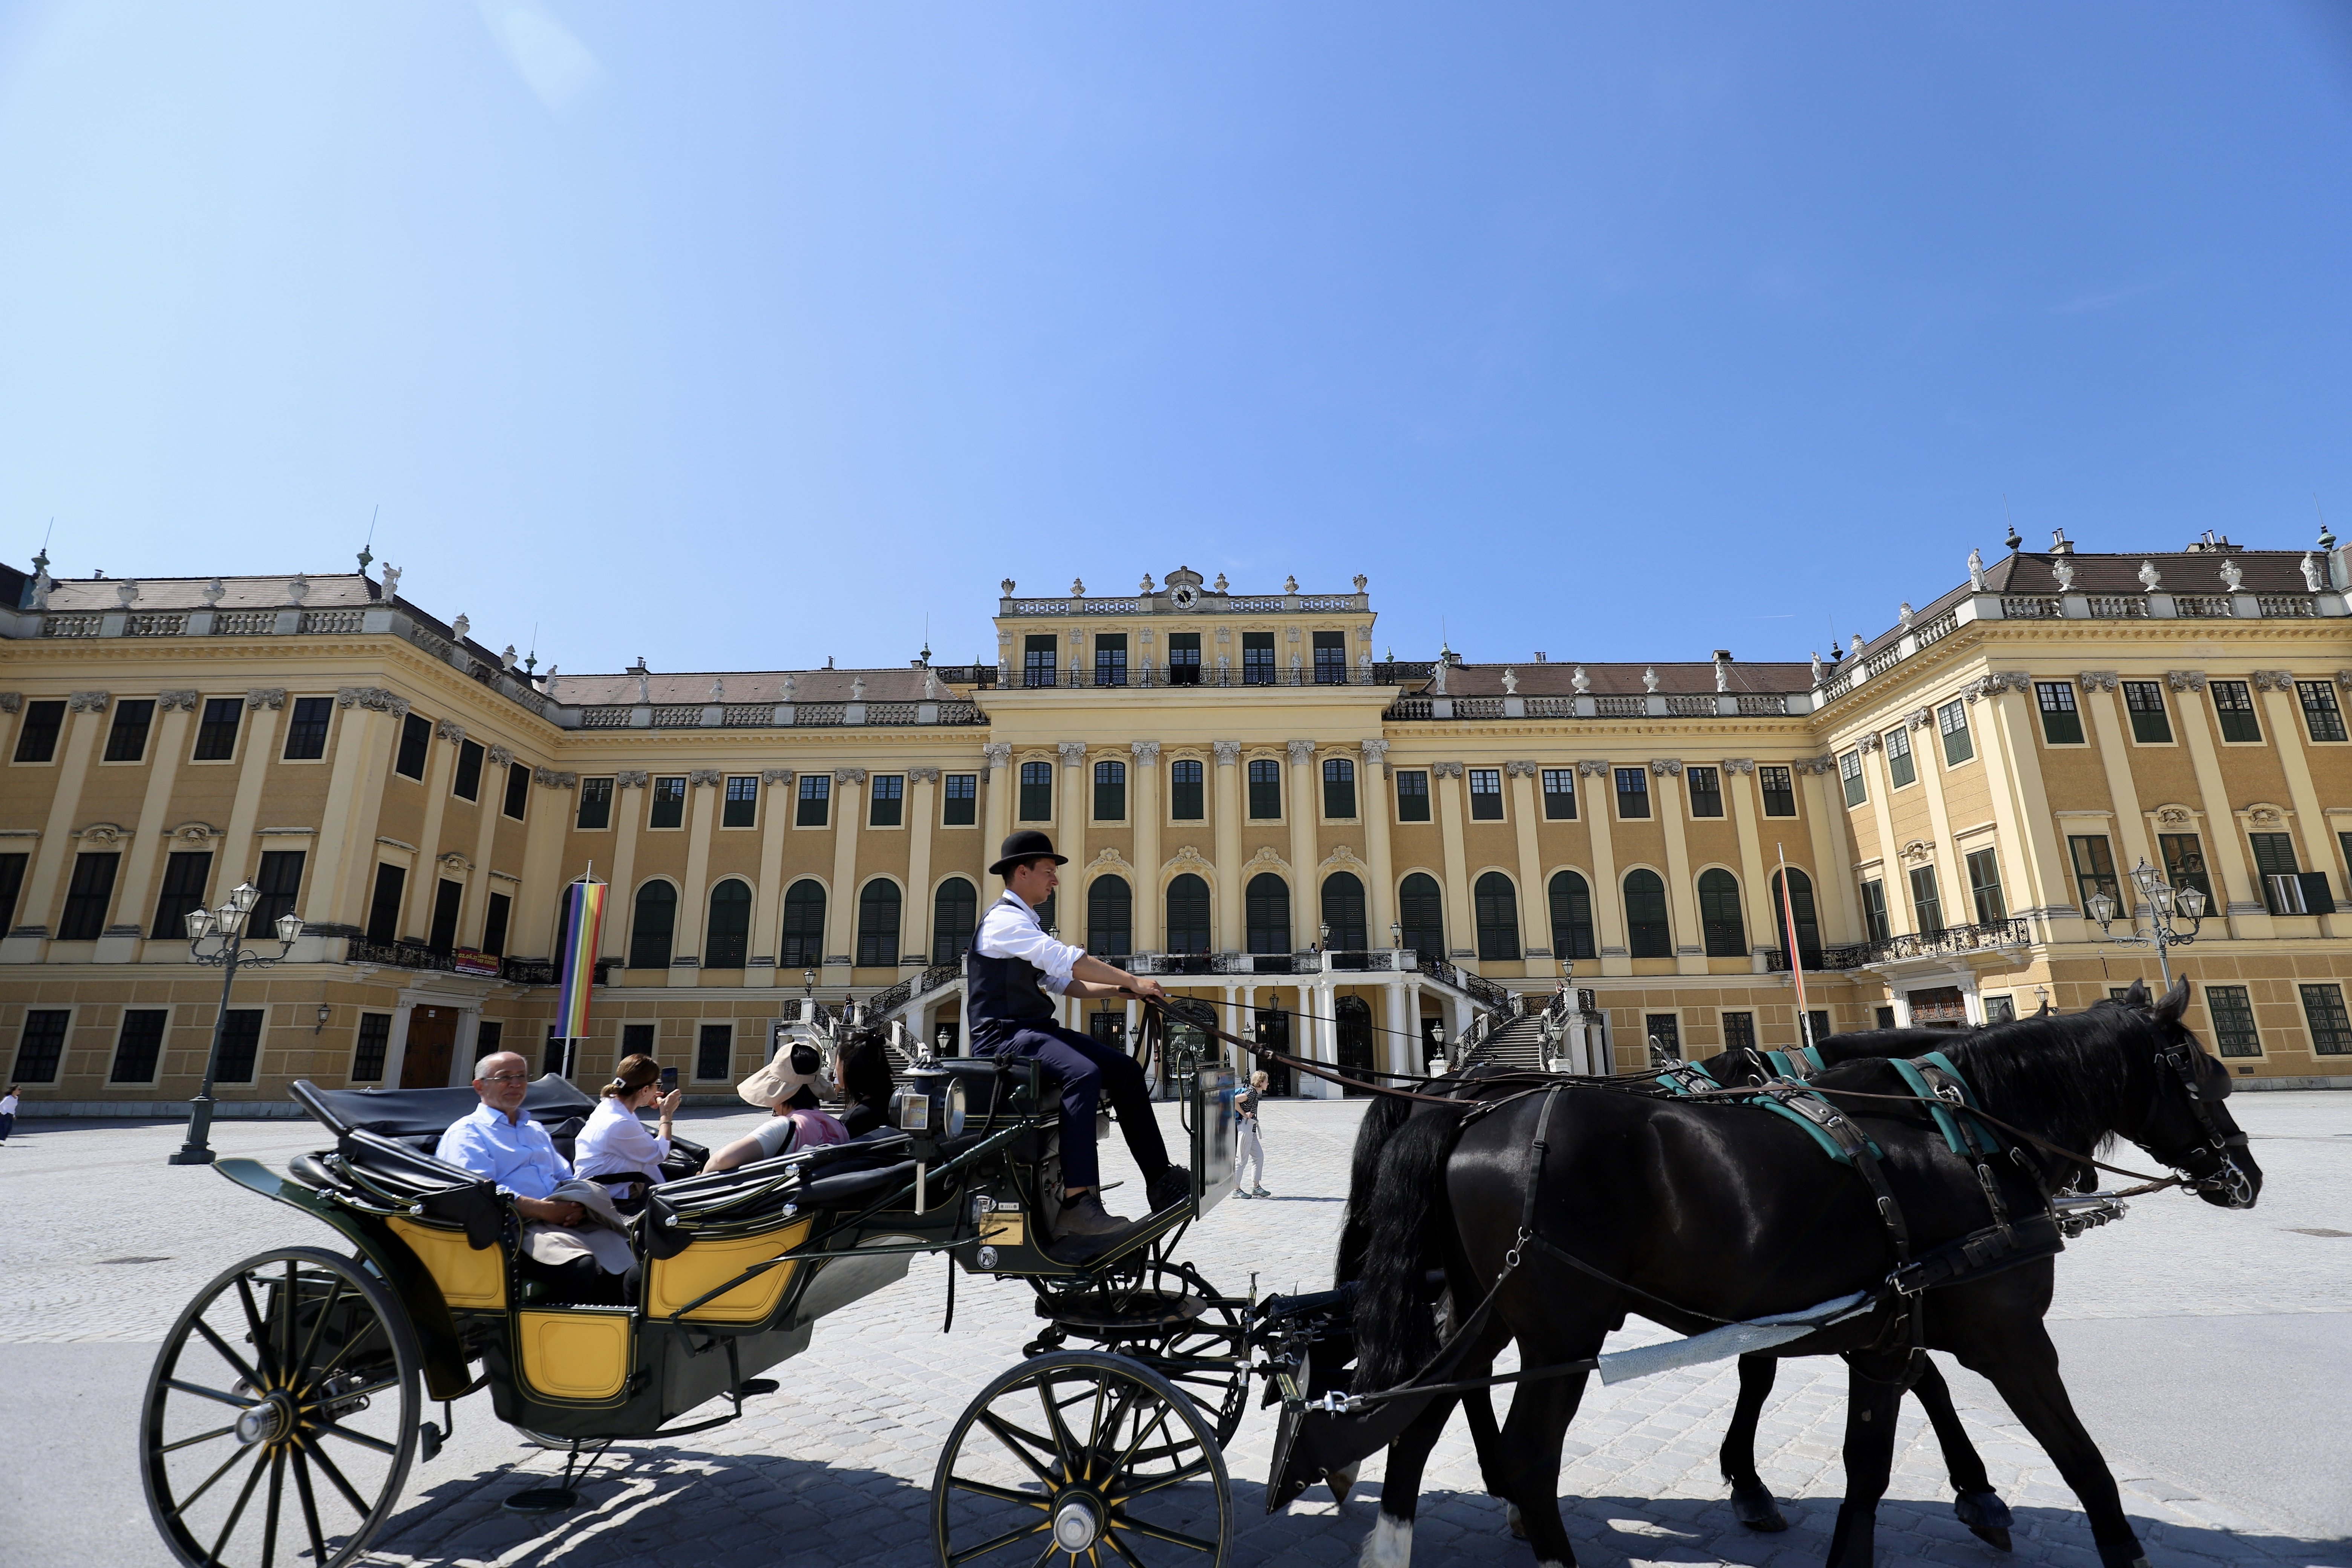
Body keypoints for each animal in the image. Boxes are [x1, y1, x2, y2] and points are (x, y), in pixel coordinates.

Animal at [1336, 983, 2248, 1568]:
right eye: (2208, 1077)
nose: (2247, 1177)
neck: (1957, 1127)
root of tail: (1473, 1109)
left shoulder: (1859, 1316)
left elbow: (1861, 1427)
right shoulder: (2007, 1332)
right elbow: (2076, 1454)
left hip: (1488, 1308)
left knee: (1422, 1412)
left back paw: (1395, 1544)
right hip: (1561, 1328)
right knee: (1526, 1453)